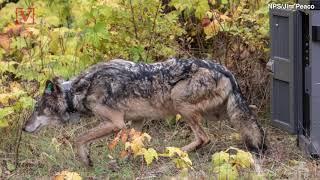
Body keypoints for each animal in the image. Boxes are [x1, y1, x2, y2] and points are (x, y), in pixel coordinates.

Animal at [23, 58, 268, 166]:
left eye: (36, 109)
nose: (23, 128)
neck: (80, 90)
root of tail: (227, 72)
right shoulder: (136, 121)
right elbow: (133, 145)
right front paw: (126, 160)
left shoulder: (115, 123)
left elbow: (79, 138)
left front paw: (86, 160)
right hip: (228, 113)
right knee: (252, 127)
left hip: (181, 104)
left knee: (204, 137)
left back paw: (175, 153)